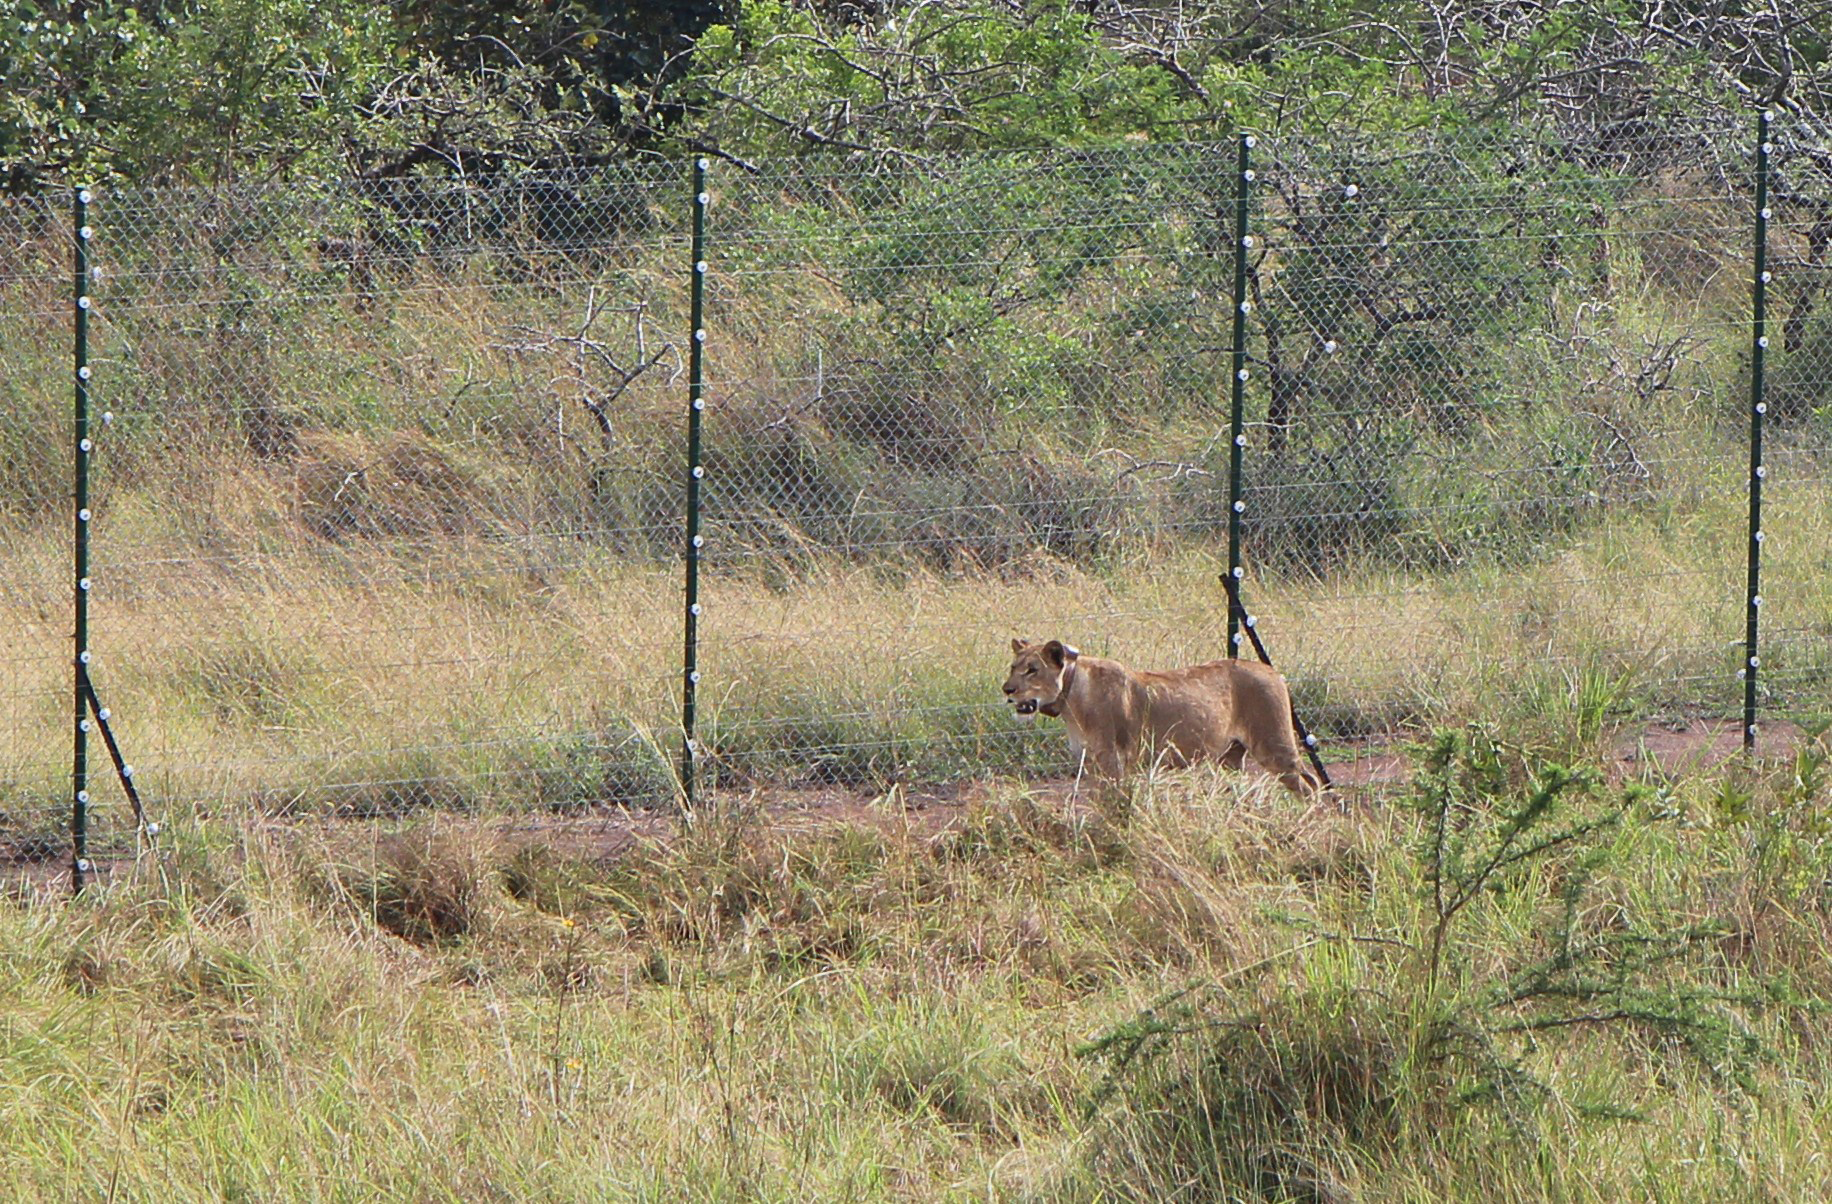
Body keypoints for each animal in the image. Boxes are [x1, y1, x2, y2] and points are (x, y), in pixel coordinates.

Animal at [1003, 637, 1321, 797]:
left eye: (1032, 670)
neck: (1071, 695)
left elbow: (1115, 804)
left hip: (1274, 745)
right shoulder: (1090, 763)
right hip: (1232, 756)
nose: (1007, 690)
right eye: (1013, 667)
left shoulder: (1112, 761)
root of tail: (1274, 672)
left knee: (1309, 786)